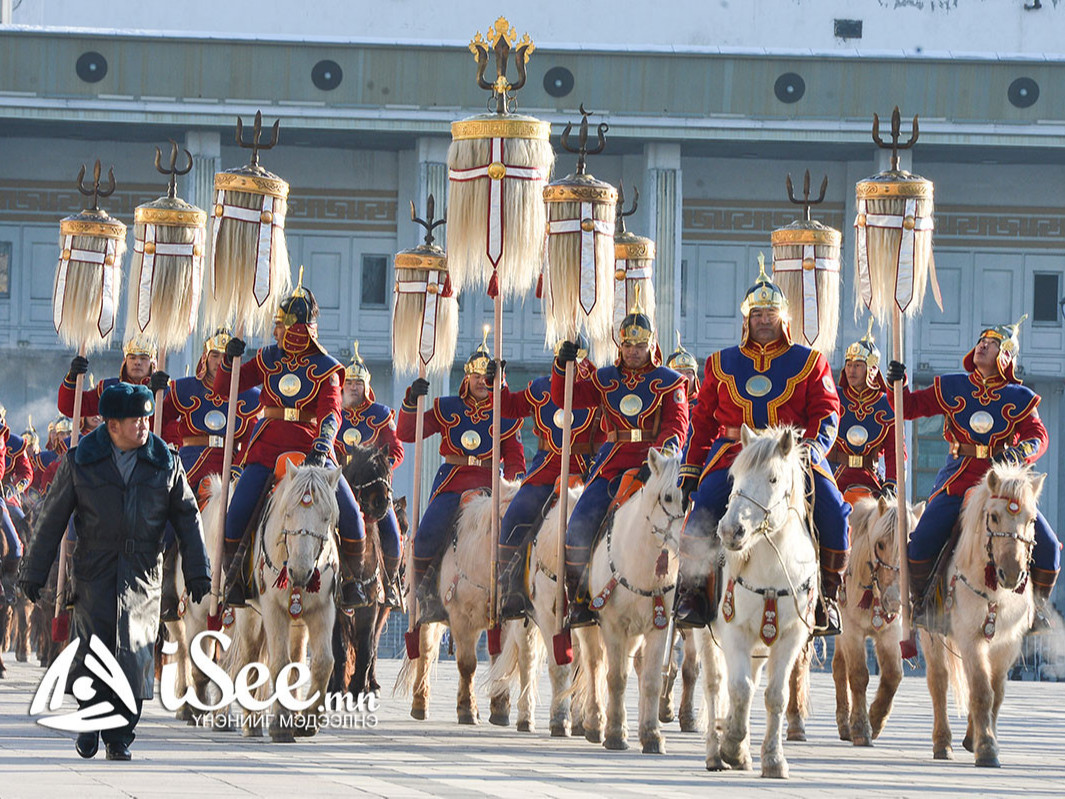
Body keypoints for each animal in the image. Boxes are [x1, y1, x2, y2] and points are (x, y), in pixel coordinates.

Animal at [396, 479, 519, 728]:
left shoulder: (502, 620)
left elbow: (499, 661)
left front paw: (500, 708)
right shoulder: (462, 618)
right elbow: (467, 664)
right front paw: (467, 710)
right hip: (424, 615)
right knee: (425, 651)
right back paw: (420, 703)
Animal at [570, 451, 685, 758]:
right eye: (667, 497)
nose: (680, 548)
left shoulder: (658, 627)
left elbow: (651, 680)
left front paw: (652, 735)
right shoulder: (612, 625)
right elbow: (616, 677)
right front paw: (613, 734)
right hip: (589, 625)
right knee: (595, 664)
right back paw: (595, 722)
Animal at [694, 428, 817, 779]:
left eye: (773, 478)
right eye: (734, 476)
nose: (730, 530)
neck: (773, 567)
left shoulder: (791, 636)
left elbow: (775, 695)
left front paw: (773, 759)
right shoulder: (734, 631)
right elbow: (739, 688)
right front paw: (731, 744)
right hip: (704, 633)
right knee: (715, 684)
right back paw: (715, 753)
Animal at [834, 492, 920, 749]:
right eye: (880, 544)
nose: (894, 599)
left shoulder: (890, 634)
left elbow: (893, 676)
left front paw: (875, 720)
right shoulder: (851, 631)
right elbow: (858, 675)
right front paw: (861, 728)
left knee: (838, 667)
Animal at [920, 466, 1043, 767]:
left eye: (1032, 519)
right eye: (994, 516)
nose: (1012, 574)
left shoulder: (1008, 643)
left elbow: (996, 692)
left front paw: (977, 737)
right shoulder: (970, 638)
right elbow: (981, 690)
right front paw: (986, 748)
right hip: (930, 633)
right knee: (938, 681)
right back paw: (942, 743)